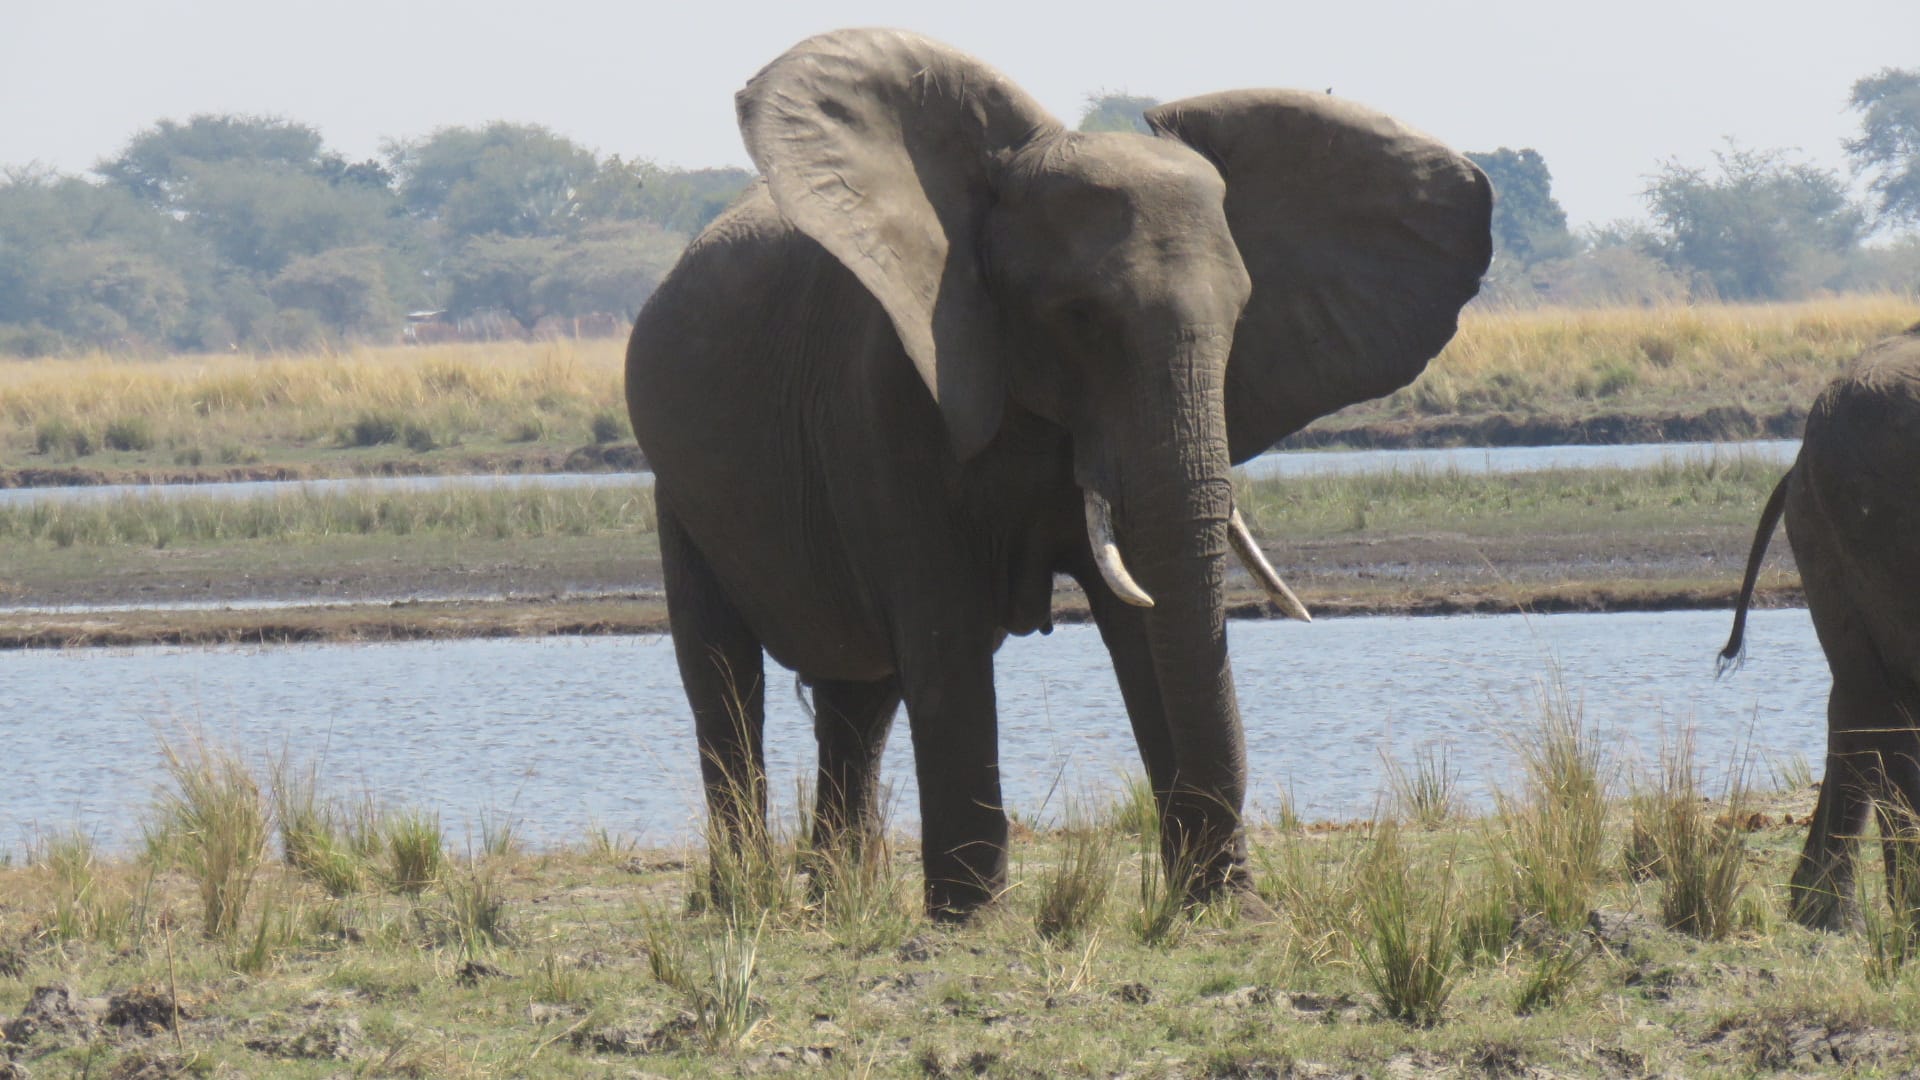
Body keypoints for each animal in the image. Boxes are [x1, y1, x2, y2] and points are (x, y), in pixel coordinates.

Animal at [622, 29, 1489, 910]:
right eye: (1079, 315)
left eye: (1242, 314)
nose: (1239, 892)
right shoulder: (886, 390)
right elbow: (944, 627)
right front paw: (970, 916)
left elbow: (1143, 617)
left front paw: (1213, 905)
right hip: (678, 488)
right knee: (725, 680)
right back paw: (744, 899)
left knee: (859, 699)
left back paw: (842, 900)